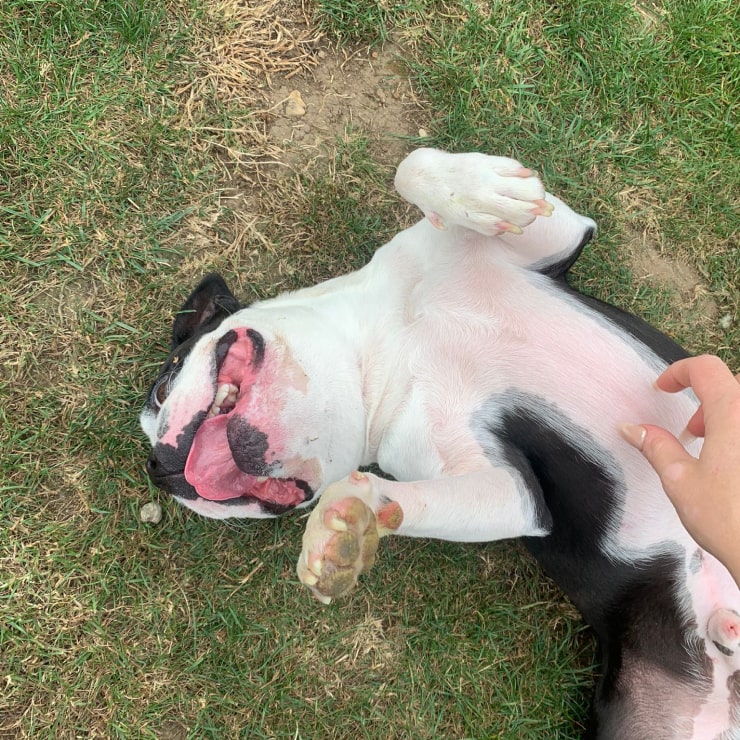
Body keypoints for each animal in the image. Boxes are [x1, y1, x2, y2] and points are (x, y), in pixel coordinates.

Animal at [140, 147, 740, 736]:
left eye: (163, 383)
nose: (160, 465)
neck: (395, 335)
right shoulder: (511, 491)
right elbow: (398, 499)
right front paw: (346, 529)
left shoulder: (557, 233)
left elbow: (414, 165)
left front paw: (481, 190)